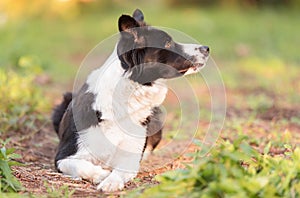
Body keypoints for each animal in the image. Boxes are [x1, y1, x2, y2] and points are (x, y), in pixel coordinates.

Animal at [52, 8, 209, 192]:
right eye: (168, 43)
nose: (206, 48)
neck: (126, 96)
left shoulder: (130, 156)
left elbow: (120, 170)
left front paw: (110, 182)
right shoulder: (63, 156)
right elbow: (81, 165)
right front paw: (102, 175)